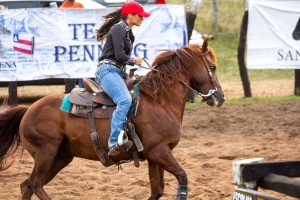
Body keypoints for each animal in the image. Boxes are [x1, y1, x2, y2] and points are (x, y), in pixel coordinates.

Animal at [0, 41, 224, 200]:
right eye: (212, 67)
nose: (220, 97)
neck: (159, 101)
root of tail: (28, 110)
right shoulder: (159, 151)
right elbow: (182, 176)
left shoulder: (155, 155)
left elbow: (157, 190)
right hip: (46, 153)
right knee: (34, 184)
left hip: (61, 156)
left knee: (27, 185)